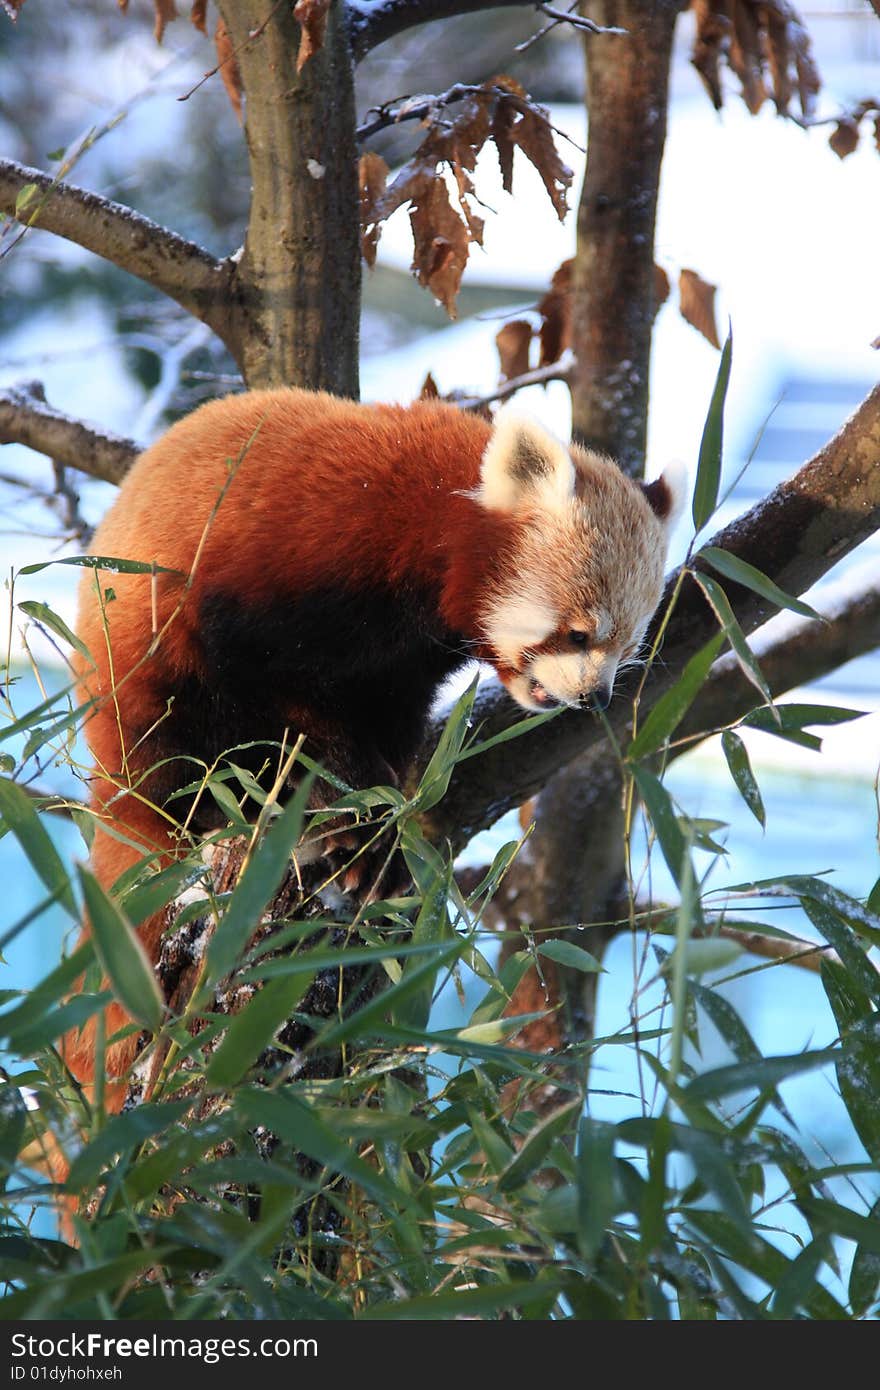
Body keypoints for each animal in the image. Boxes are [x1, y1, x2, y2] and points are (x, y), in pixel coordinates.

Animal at [67, 389, 686, 1095]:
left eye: (628, 647)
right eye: (579, 634)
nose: (595, 698)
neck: (433, 524)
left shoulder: (404, 667)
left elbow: (391, 726)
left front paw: (387, 821)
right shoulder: (299, 560)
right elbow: (275, 686)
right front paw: (357, 814)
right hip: (142, 680)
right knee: (182, 761)